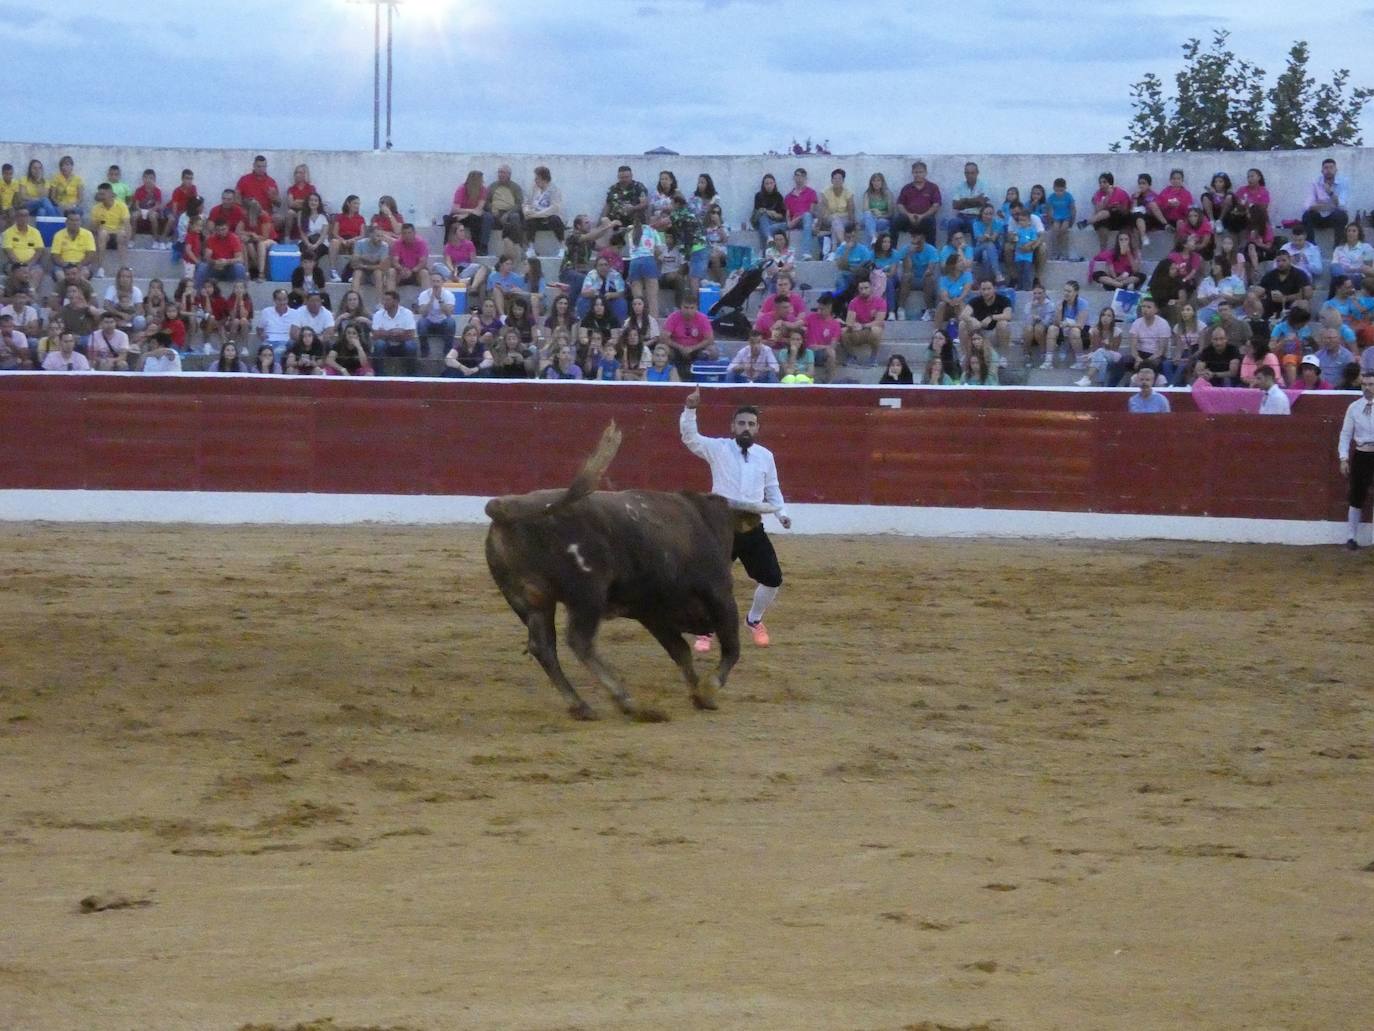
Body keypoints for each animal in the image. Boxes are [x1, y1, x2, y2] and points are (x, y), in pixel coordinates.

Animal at [483, 423, 741, 720]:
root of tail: (507, 507)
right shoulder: (719, 593)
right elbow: (731, 648)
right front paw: (709, 690)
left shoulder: (651, 612)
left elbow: (681, 651)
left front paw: (699, 693)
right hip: (587, 595)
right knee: (579, 641)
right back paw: (628, 701)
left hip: (529, 600)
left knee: (544, 647)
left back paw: (581, 705)